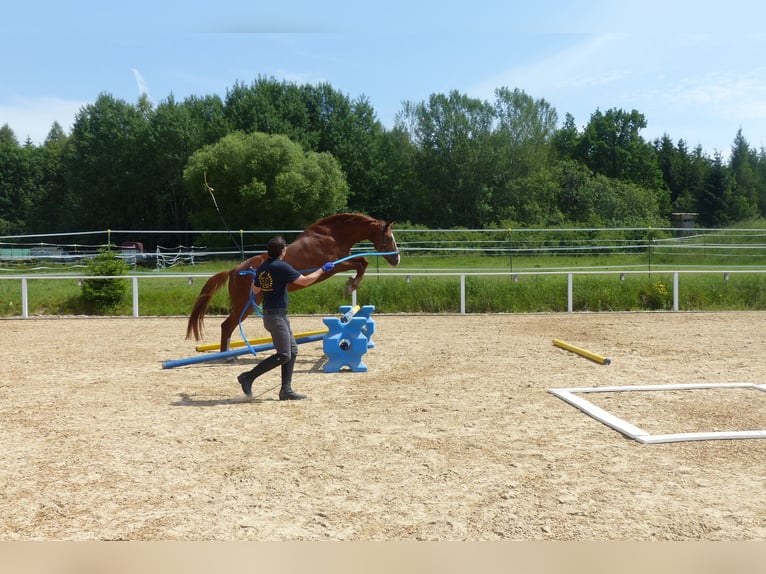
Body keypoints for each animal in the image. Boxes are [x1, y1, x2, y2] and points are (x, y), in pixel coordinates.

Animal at [186, 213, 400, 352]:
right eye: (388, 237)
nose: (396, 259)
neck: (332, 236)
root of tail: (233, 271)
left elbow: (361, 262)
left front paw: (351, 284)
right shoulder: (334, 266)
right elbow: (362, 262)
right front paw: (351, 286)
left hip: (249, 304)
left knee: (229, 326)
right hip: (244, 304)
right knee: (226, 326)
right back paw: (228, 356)